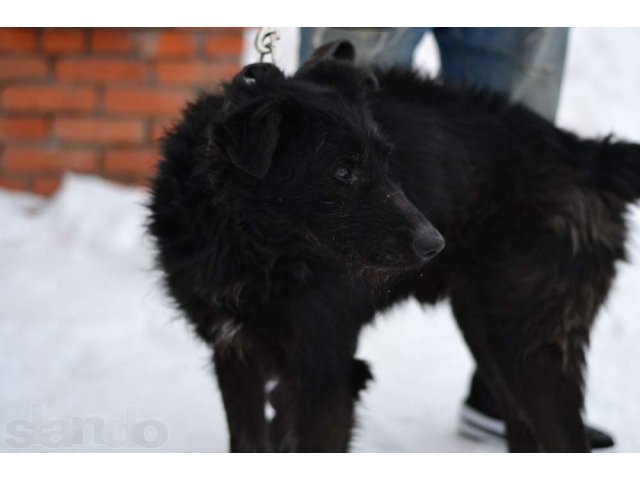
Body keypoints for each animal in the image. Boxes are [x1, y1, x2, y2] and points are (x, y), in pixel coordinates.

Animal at [148, 40, 640, 450]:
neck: (250, 246)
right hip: (490, 331)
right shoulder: (235, 356)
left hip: (528, 341)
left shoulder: (325, 375)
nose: (434, 244)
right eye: (342, 171)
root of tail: (585, 152)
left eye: (387, 162)